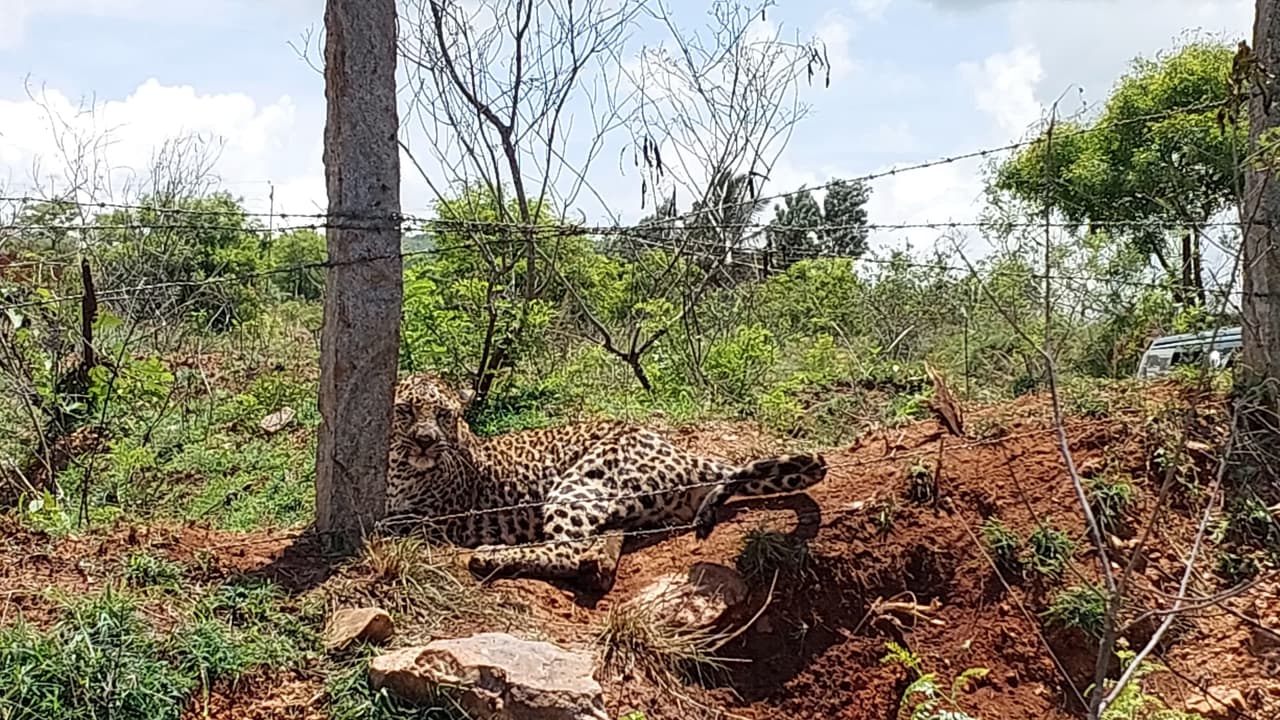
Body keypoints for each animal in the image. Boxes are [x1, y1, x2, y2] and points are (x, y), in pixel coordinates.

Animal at [381, 371, 827, 593]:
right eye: (406, 411)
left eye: (444, 415)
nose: (426, 440)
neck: (397, 464)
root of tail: (682, 453)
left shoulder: (428, 519)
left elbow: (383, 524)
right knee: (593, 547)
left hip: (578, 483)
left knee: (568, 551)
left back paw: (491, 556)